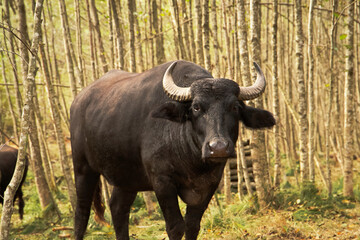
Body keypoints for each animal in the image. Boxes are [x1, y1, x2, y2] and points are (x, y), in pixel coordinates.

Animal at [71, 61, 278, 239]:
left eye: (234, 107)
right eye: (196, 107)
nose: (218, 148)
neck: (193, 162)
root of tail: (78, 101)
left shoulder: (210, 184)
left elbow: (192, 225)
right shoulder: (162, 181)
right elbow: (176, 227)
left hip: (127, 178)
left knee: (118, 208)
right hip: (83, 169)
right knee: (81, 213)